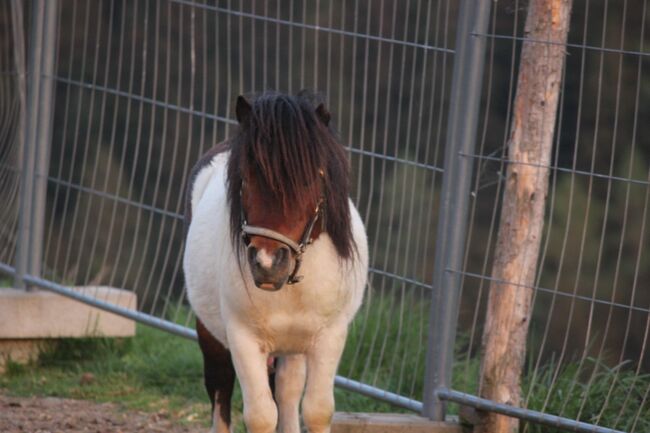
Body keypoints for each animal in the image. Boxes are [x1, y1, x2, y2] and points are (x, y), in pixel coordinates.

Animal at [182, 93, 368, 432]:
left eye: (311, 179)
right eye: (245, 178)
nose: (268, 264)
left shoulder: (329, 337)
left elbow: (317, 410)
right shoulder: (242, 339)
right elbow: (260, 415)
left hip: (292, 348)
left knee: (287, 392)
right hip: (211, 334)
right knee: (220, 388)